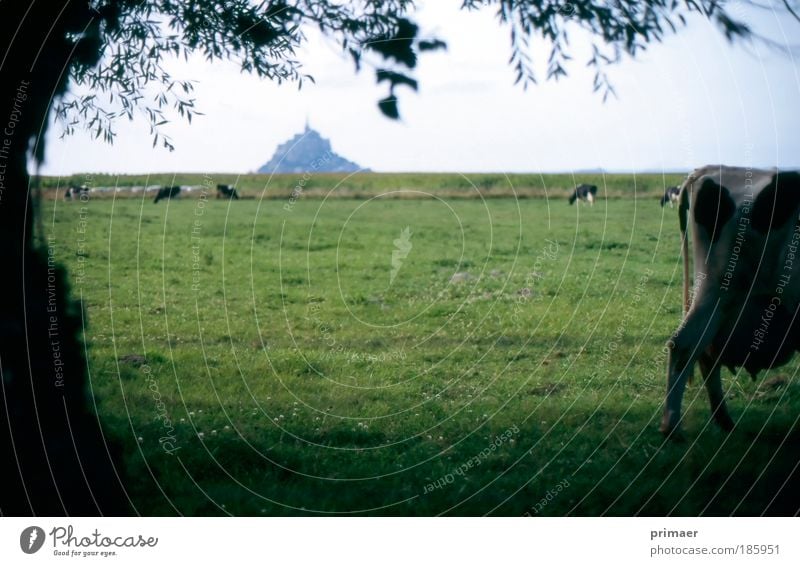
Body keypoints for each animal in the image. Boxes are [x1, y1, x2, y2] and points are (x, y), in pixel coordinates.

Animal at [660, 164, 800, 440]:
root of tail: (707, 171)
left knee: (704, 352)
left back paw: (723, 421)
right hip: (718, 289)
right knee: (685, 345)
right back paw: (672, 425)